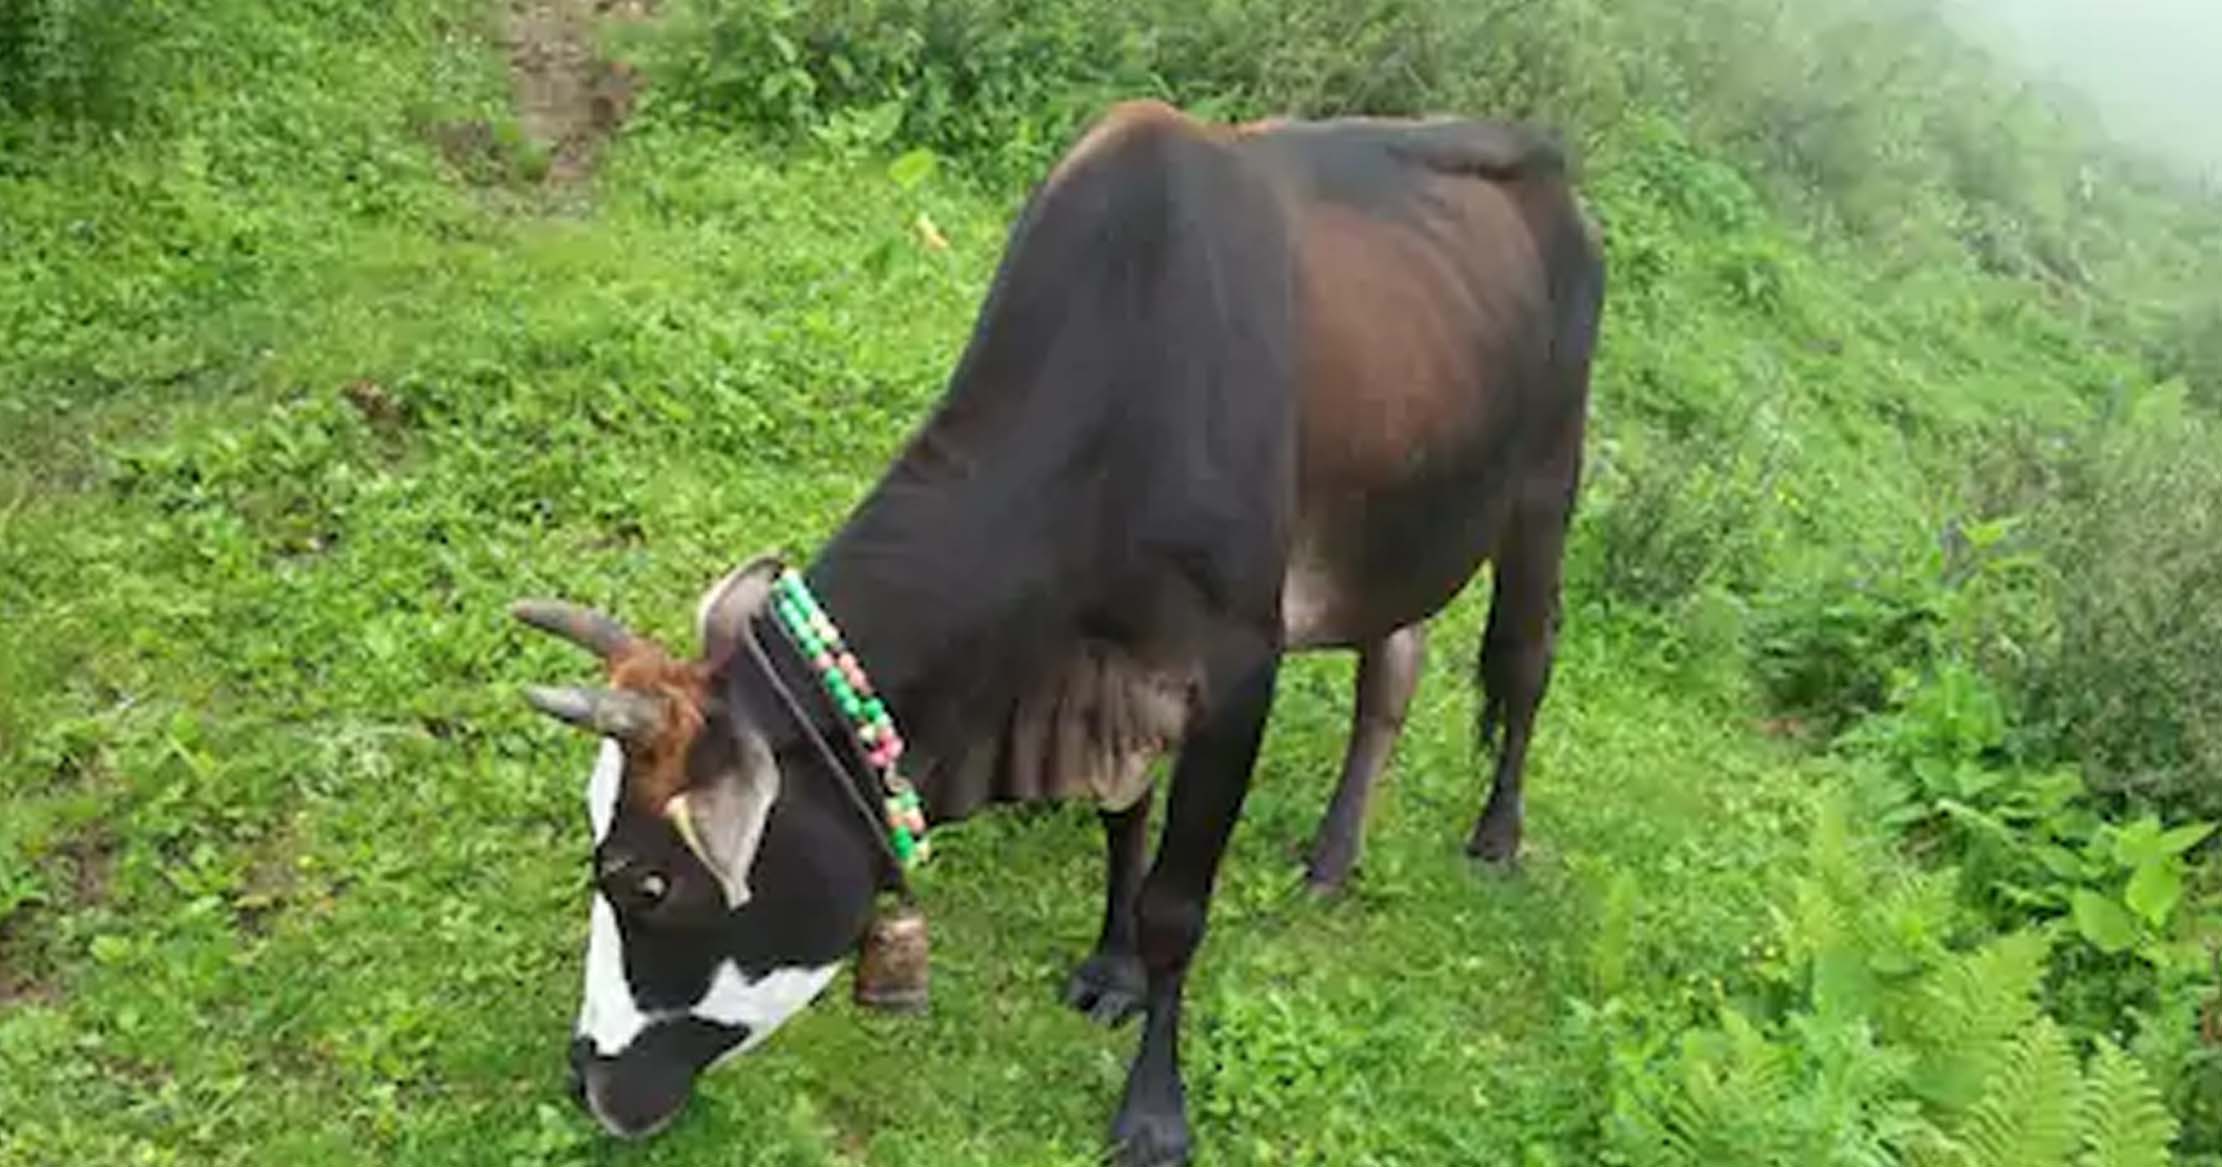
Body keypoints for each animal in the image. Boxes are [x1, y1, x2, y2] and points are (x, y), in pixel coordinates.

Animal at [507, 99, 1605, 1165]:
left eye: (646, 883)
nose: (581, 1073)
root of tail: (1548, 162)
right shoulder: (1107, 678)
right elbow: (1124, 823)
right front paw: (1110, 968)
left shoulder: (1235, 676)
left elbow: (1177, 907)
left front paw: (1154, 1112)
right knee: (1393, 665)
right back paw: (1334, 856)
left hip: (1546, 485)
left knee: (1527, 660)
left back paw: (1495, 837)